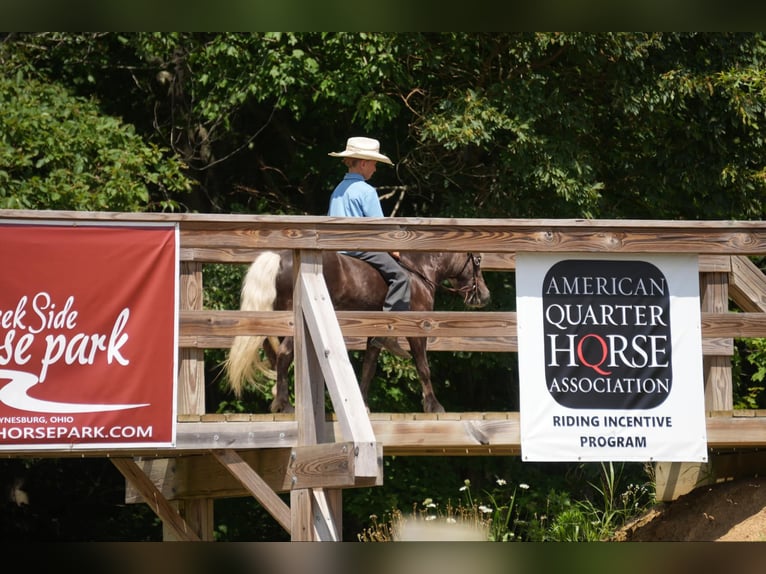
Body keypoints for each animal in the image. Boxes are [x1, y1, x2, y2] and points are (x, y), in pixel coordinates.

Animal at [225, 250, 496, 416]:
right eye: (478, 261)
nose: (484, 295)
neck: (418, 273)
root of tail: (278, 258)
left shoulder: (374, 335)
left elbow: (368, 368)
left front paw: (363, 405)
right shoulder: (417, 329)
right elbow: (423, 366)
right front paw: (433, 406)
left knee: (275, 355)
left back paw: (281, 399)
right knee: (283, 355)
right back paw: (284, 404)